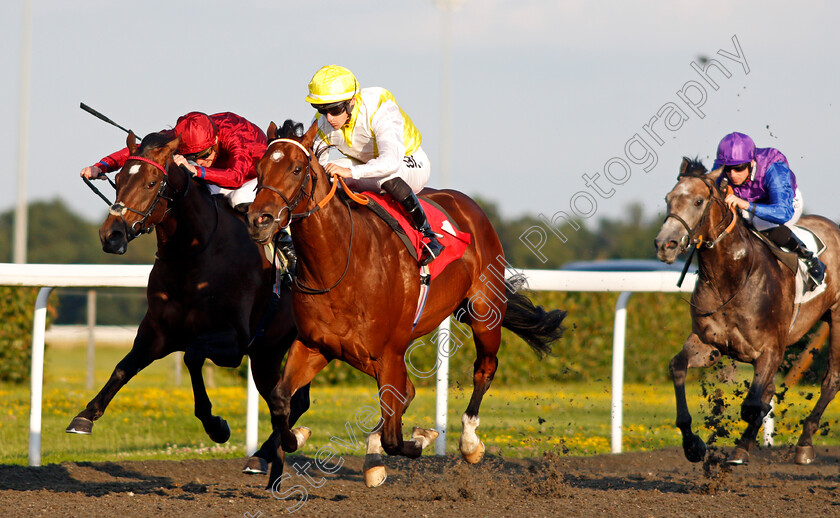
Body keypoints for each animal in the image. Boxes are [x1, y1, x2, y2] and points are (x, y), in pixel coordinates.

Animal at [65, 131, 308, 480]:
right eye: (119, 179)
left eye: (152, 183)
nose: (111, 235)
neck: (196, 254)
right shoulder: (157, 332)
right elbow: (123, 368)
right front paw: (85, 415)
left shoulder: (232, 341)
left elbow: (192, 356)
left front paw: (217, 426)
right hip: (268, 350)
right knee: (285, 398)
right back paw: (263, 457)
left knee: (289, 400)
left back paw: (272, 450)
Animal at [244, 121, 564, 492]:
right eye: (258, 169)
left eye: (297, 168)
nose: (259, 219)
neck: (340, 265)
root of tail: (467, 204)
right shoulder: (316, 345)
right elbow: (281, 399)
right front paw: (298, 435)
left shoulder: (390, 351)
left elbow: (395, 438)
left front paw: (422, 438)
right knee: (406, 393)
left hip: (484, 311)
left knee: (484, 368)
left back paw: (469, 442)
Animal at [656, 158, 840, 468]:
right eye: (668, 199)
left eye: (698, 201)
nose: (664, 244)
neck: (731, 277)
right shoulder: (708, 343)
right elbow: (677, 366)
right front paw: (693, 445)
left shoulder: (771, 349)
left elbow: (754, 404)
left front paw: (742, 442)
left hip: (837, 318)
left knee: (832, 379)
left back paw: (804, 444)